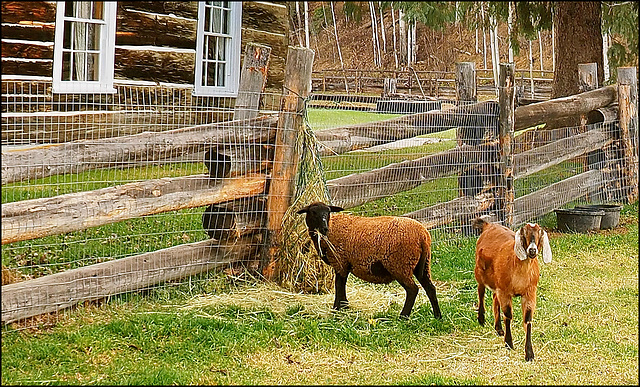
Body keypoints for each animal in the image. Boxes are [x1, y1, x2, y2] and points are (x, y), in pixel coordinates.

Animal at [296, 202, 440, 320]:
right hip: (423, 264)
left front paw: (337, 308)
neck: (332, 227)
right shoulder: (344, 264)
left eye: (328, 212)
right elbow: (342, 284)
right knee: (430, 288)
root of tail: (423, 236)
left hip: (400, 264)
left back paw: (403, 316)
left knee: (413, 290)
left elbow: (339, 285)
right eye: (313, 212)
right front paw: (344, 306)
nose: (324, 229)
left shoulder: (340, 262)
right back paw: (437, 316)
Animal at [472, 217, 552, 362]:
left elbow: (527, 319)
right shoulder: (505, 292)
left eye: (539, 233)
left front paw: (529, 354)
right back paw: (481, 318)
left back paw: (498, 329)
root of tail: (488, 225)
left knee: (494, 298)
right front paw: (509, 343)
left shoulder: (529, 293)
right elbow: (508, 315)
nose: (532, 250)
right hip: (479, 272)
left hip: (497, 283)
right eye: (524, 233)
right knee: (481, 292)